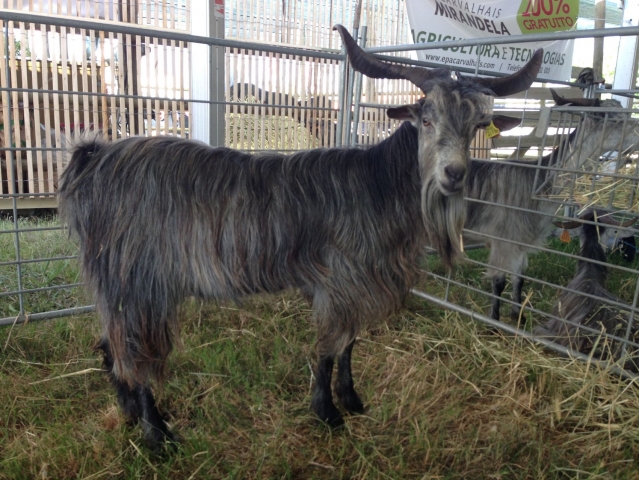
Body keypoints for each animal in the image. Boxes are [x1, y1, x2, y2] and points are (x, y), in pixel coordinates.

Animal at [57, 24, 544, 448]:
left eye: (477, 126)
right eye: (426, 118)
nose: (455, 174)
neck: (378, 185)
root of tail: (93, 159)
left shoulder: (354, 286)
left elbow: (350, 343)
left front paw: (352, 399)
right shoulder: (339, 281)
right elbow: (329, 348)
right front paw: (327, 412)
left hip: (118, 285)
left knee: (109, 345)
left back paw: (129, 413)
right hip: (135, 281)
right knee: (134, 354)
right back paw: (158, 434)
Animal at [464, 91, 639, 320]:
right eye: (612, 118)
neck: (538, 183)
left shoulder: (522, 242)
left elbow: (519, 279)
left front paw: (518, 316)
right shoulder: (503, 240)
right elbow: (499, 281)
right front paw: (494, 320)